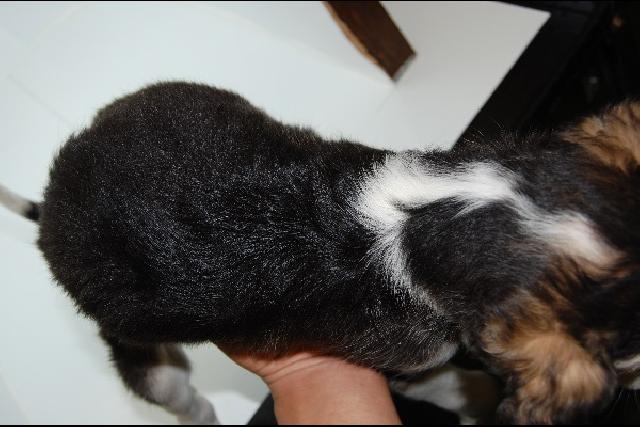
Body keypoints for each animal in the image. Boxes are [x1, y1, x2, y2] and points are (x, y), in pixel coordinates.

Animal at [2, 81, 640, 424]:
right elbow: (459, 384)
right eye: (626, 351)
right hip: (131, 334)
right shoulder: (413, 360)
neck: (431, 214)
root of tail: (51, 205)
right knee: (164, 386)